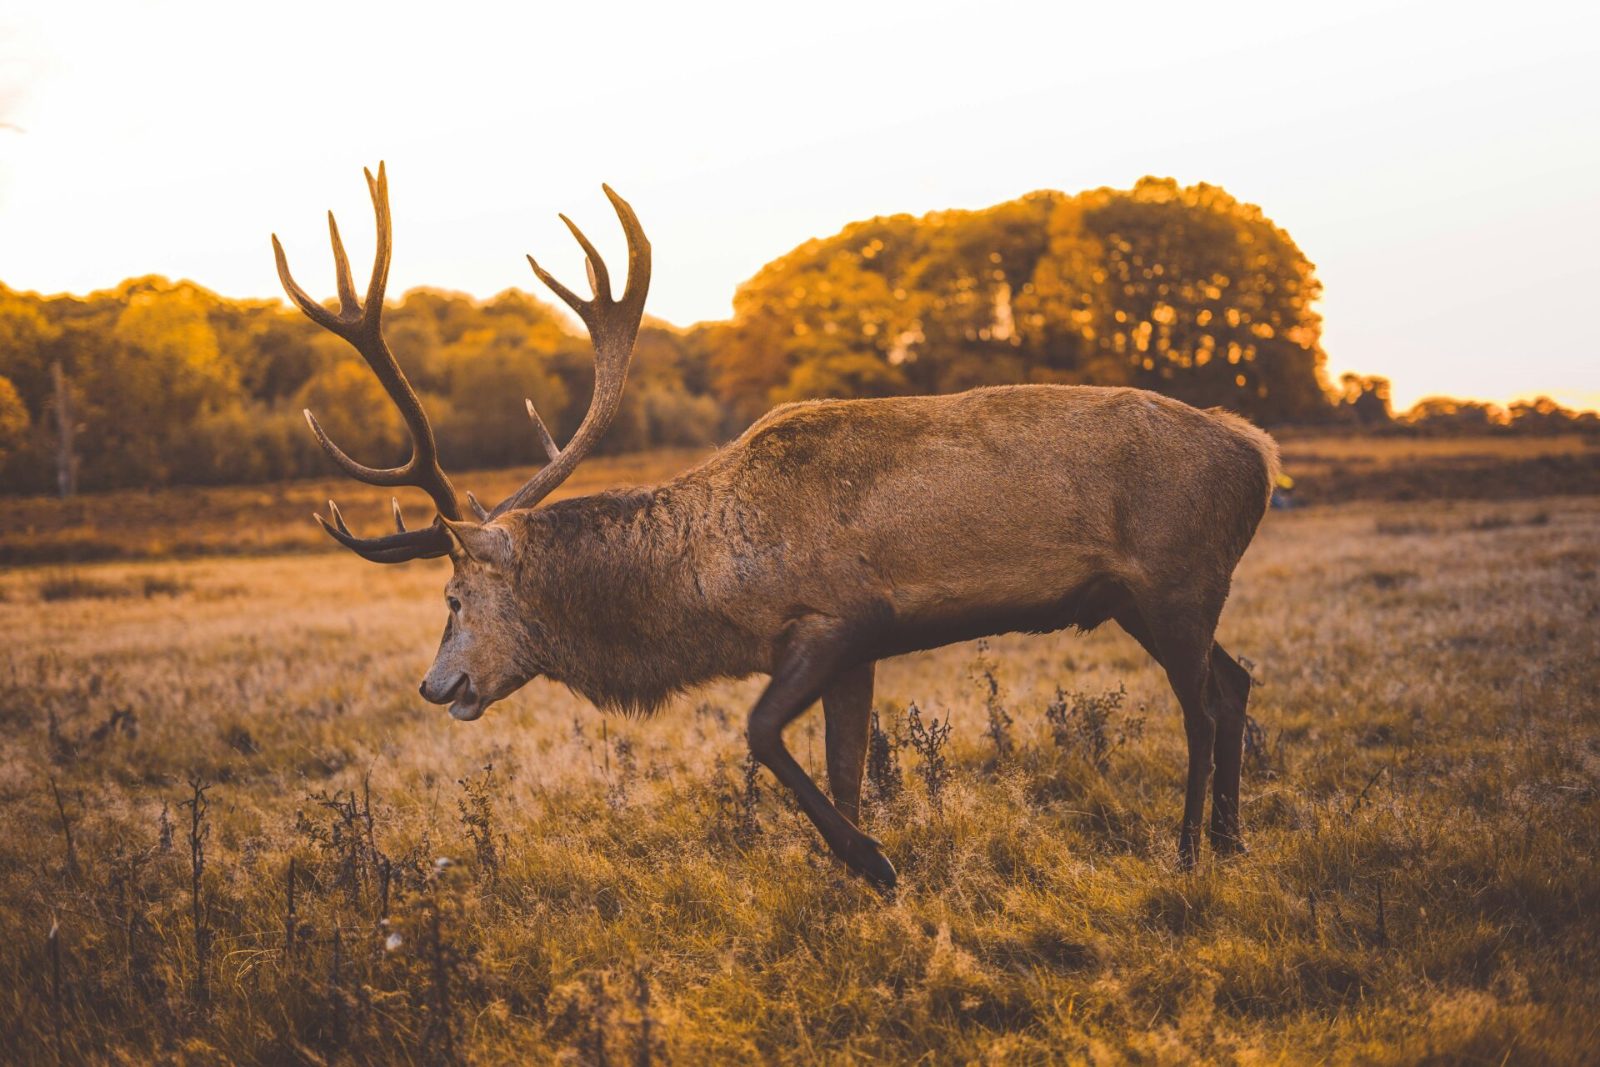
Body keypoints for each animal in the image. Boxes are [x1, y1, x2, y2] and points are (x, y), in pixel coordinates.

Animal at [273, 165, 1278, 888]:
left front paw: (875, 863)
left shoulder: (840, 616)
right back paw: (1233, 841)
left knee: (1200, 702)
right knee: (1234, 681)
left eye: (450, 596)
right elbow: (844, 764)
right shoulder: (856, 651)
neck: (711, 588)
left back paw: (1189, 849)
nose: (435, 686)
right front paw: (859, 873)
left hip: (1174, 580)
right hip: (1157, 597)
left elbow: (760, 734)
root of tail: (1261, 454)